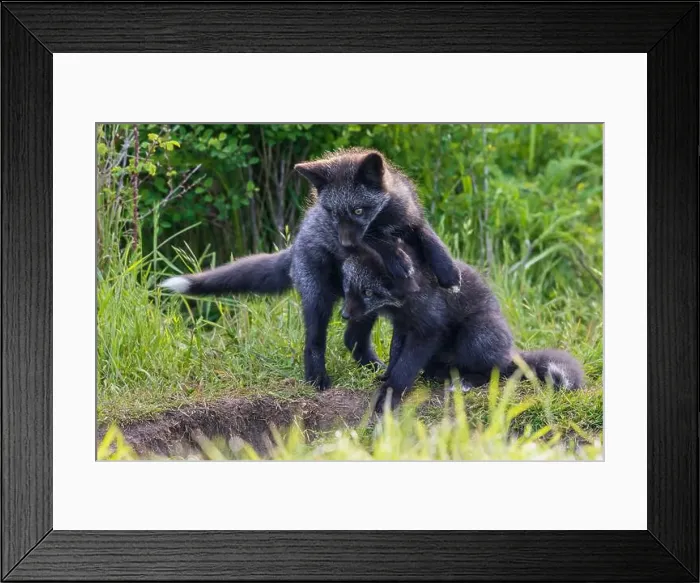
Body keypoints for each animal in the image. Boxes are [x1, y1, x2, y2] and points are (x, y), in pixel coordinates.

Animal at [161, 148, 461, 390]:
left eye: (359, 210)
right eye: (332, 214)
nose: (346, 244)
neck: (384, 219)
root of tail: (294, 248)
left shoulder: (410, 218)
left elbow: (428, 237)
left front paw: (448, 271)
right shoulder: (363, 241)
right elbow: (378, 242)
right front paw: (397, 257)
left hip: (362, 303)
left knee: (351, 339)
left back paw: (373, 367)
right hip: (320, 299)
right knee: (314, 342)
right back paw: (317, 379)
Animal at [340, 242, 585, 412]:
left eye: (367, 292)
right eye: (348, 287)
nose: (344, 315)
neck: (403, 302)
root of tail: (510, 350)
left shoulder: (428, 330)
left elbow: (406, 366)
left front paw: (391, 392)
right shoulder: (402, 326)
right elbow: (395, 356)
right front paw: (385, 377)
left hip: (475, 335)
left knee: (496, 371)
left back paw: (465, 382)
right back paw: (445, 375)